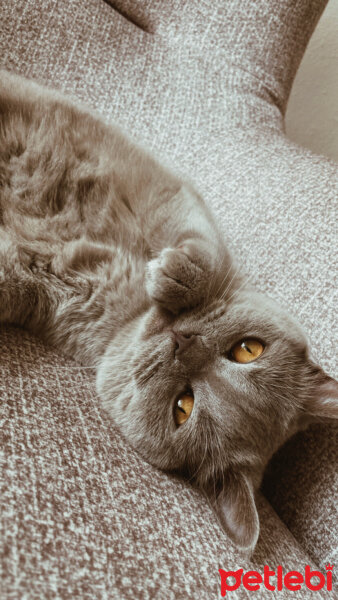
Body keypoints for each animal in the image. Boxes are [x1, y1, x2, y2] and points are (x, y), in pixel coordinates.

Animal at [0, 71, 338, 552]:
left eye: (183, 405)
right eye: (248, 349)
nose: (183, 342)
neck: (124, 295)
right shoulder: (173, 196)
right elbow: (203, 246)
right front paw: (172, 275)